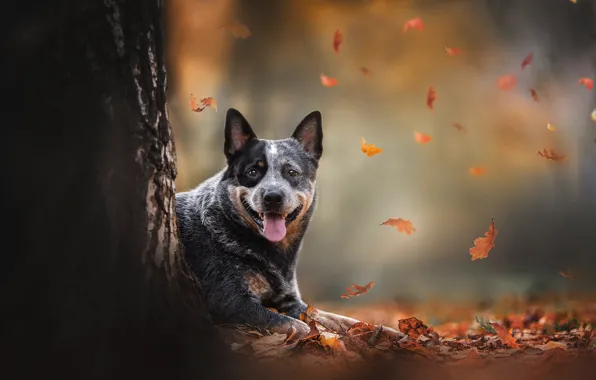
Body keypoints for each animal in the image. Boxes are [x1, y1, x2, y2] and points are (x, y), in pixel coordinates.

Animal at [173, 108, 364, 336]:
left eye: (292, 172)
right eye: (253, 172)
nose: (273, 197)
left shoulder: (290, 301)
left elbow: (336, 318)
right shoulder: (231, 301)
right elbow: (302, 327)